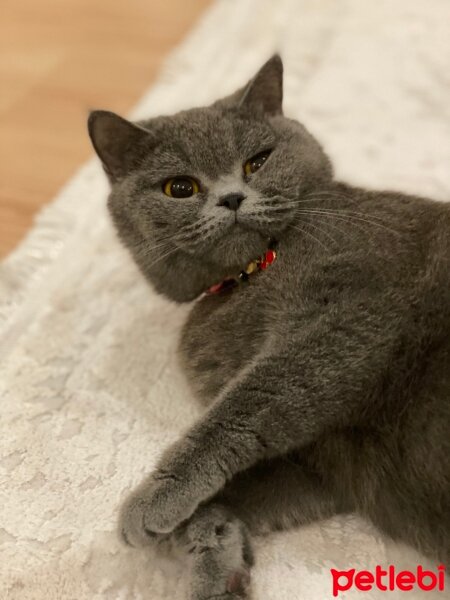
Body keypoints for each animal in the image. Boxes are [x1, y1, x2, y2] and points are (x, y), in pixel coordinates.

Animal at [88, 54, 450, 596]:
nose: (232, 198)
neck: (246, 277)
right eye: (180, 187)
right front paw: (213, 565)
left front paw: (152, 503)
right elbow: (243, 486)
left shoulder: (349, 313)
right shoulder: (324, 463)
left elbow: (243, 407)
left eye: (256, 162)